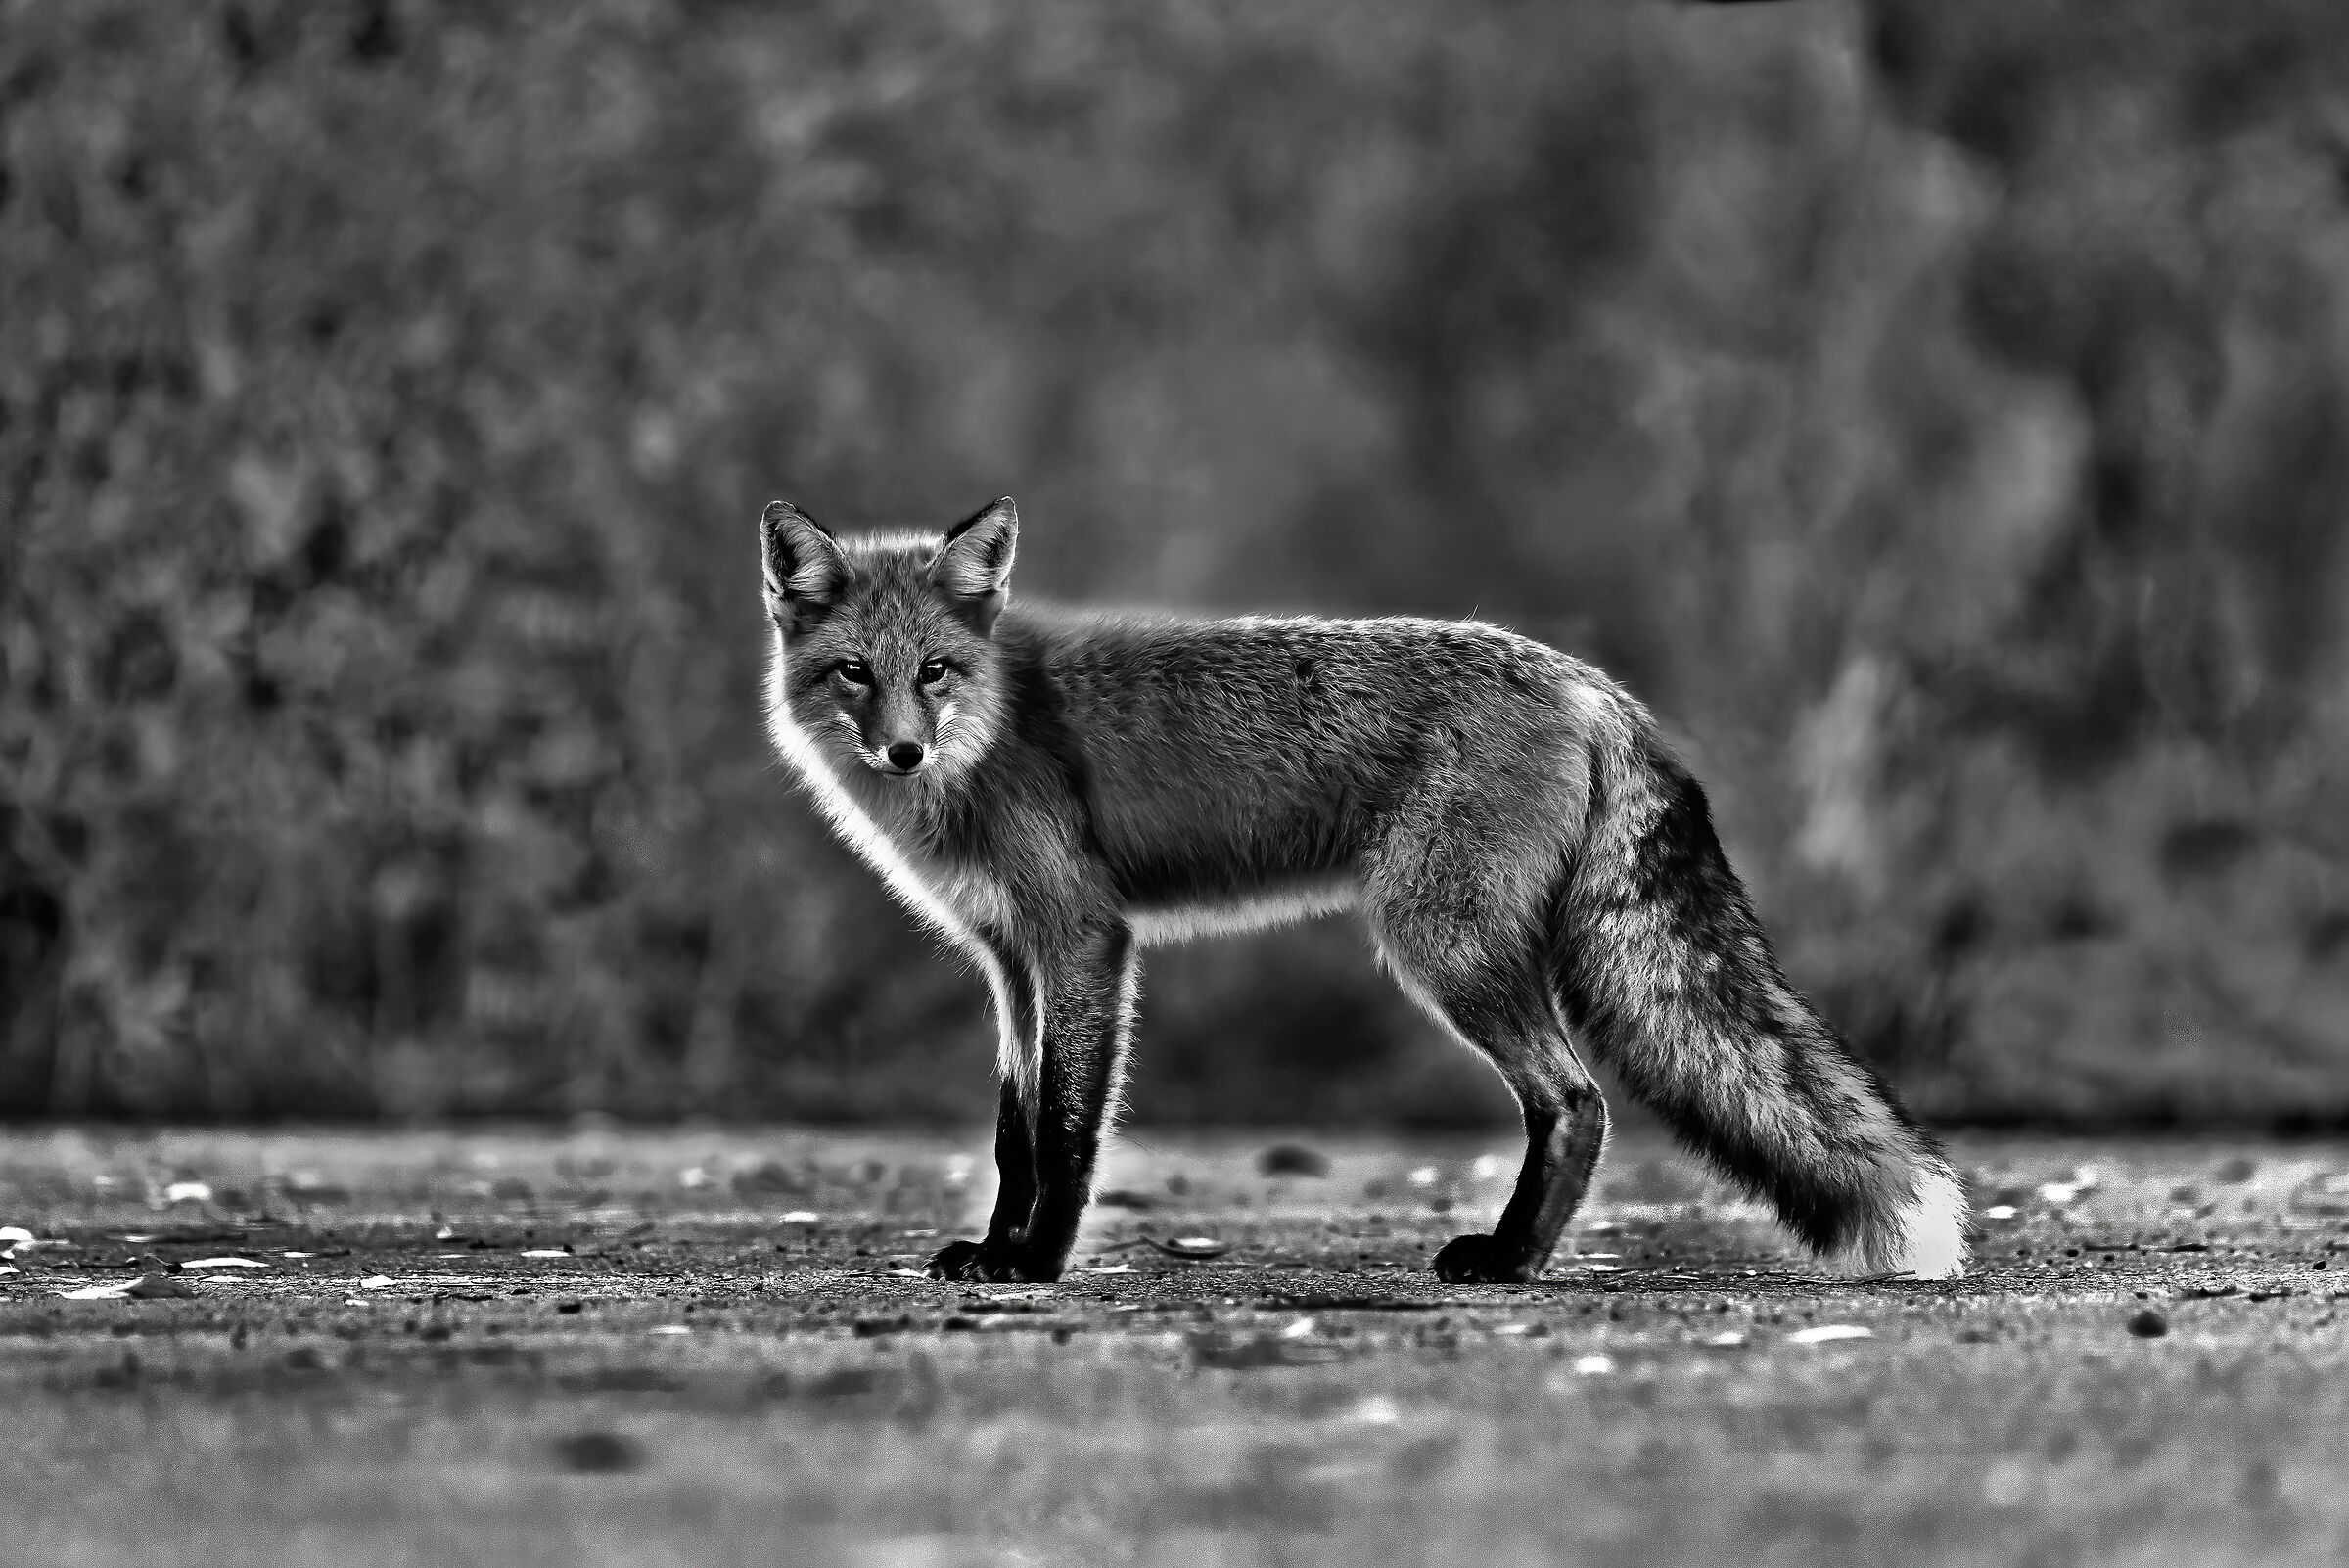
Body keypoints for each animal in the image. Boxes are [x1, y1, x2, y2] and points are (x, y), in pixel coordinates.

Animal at [758, 496, 1969, 1285]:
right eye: (855, 673)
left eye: (936, 672)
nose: (903, 753)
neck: (993, 736)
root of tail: (1596, 687)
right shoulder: (1013, 964)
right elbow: (1014, 1133)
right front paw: (998, 1249)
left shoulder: (1086, 940)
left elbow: (1065, 1130)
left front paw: (1040, 1265)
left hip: (1439, 944)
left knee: (1577, 1101)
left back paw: (1510, 1262)